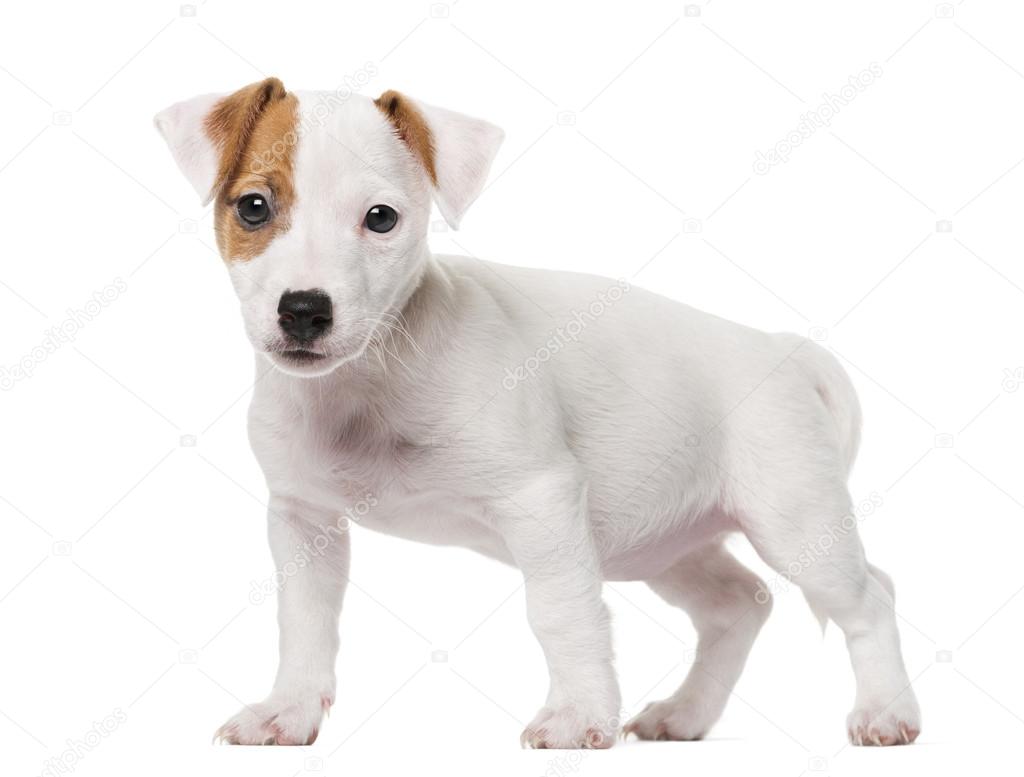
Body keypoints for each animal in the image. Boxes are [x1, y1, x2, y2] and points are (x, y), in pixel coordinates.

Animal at [155, 77, 925, 749]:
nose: (305, 311)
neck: (372, 377)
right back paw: (685, 713)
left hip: (795, 522)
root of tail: (783, 349)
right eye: (254, 207)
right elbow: (305, 620)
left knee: (871, 597)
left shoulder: (542, 499)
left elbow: (560, 613)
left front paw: (578, 716)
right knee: (739, 603)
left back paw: (887, 711)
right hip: (662, 539)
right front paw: (287, 710)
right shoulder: (303, 518)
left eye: (381, 219)